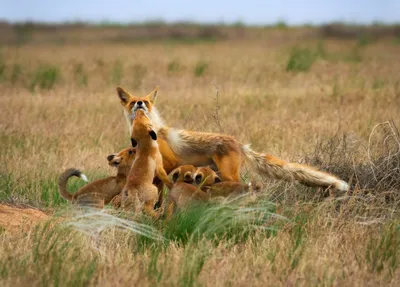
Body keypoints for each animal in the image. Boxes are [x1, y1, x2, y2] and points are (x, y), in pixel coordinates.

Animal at [117, 86, 348, 192]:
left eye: (146, 102)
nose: (140, 104)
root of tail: (239, 143)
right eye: (133, 102)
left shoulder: (170, 162)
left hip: (229, 175)